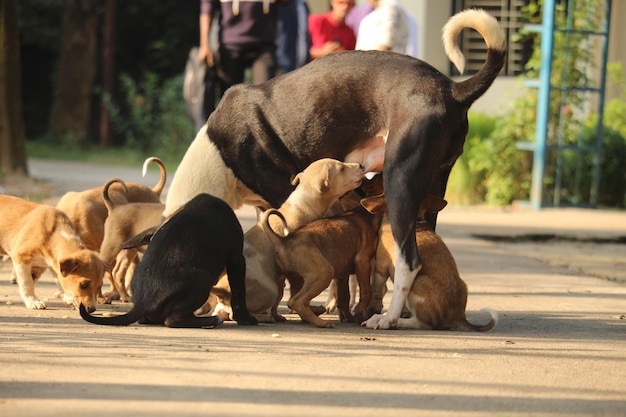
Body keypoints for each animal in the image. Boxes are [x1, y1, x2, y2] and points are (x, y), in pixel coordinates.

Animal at [79, 193, 258, 326]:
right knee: (172, 320)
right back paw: (211, 320)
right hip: (202, 278)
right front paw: (245, 318)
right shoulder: (236, 257)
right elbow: (239, 291)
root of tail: (144, 303)